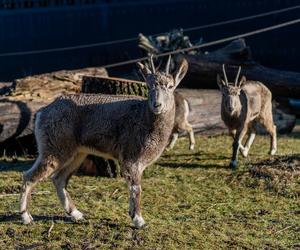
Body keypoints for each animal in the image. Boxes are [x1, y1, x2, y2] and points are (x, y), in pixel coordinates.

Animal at [19, 56, 188, 229]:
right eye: (148, 85)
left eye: (170, 86)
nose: (157, 105)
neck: (144, 117)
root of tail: (42, 112)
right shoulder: (131, 157)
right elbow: (136, 188)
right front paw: (139, 221)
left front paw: (133, 215)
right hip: (55, 148)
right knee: (29, 176)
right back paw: (26, 217)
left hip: (77, 153)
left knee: (59, 179)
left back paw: (76, 214)